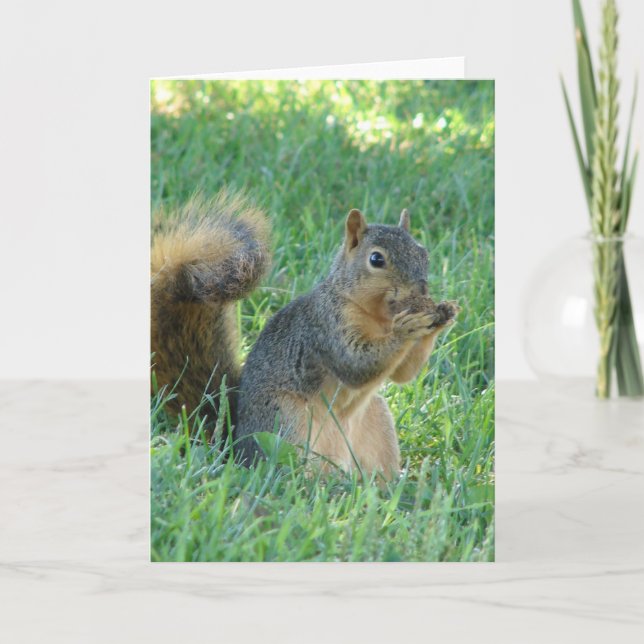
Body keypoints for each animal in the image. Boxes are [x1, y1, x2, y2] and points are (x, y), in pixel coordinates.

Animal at [151, 191, 459, 479]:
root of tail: (236, 448)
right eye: (376, 259)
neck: (378, 317)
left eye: (424, 253)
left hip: (377, 424)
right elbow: (355, 365)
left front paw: (444, 314)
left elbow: (403, 375)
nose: (421, 290)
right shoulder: (324, 327)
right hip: (287, 424)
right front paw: (406, 328)